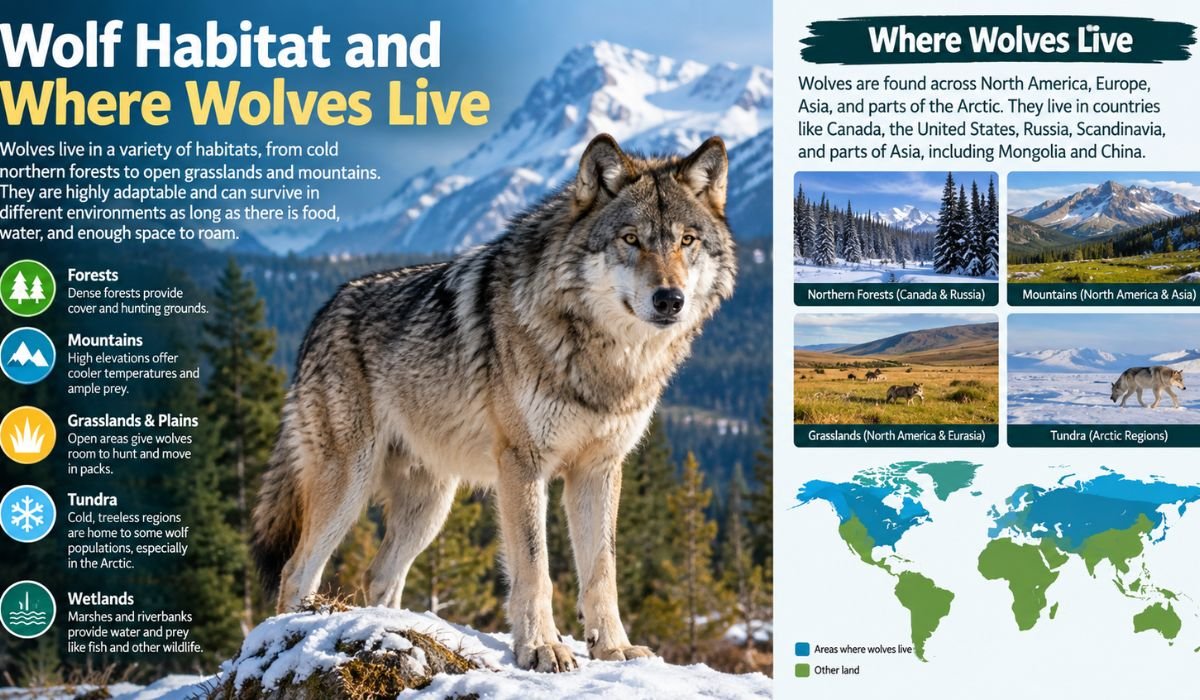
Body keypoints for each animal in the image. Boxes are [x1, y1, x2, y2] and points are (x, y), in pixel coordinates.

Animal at [250, 134, 736, 673]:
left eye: (686, 241)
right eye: (630, 239)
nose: (669, 299)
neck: (604, 357)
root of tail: (321, 315)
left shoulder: (599, 469)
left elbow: (601, 572)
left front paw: (613, 648)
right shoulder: (522, 464)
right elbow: (536, 569)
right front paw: (541, 648)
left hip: (429, 506)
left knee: (380, 575)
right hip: (349, 482)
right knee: (297, 569)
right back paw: (291, 636)